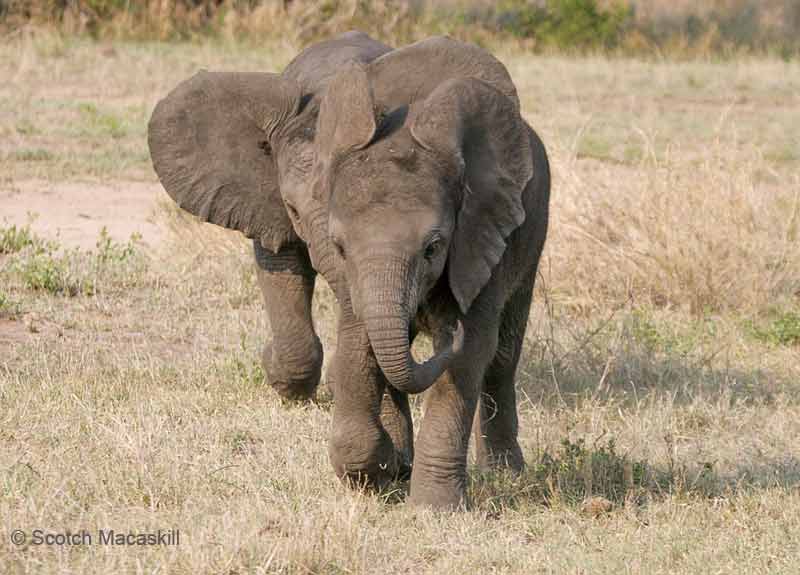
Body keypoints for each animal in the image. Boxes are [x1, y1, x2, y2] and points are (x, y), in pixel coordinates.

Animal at [310, 41, 552, 508]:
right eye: (339, 247)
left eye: (433, 248)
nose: (445, 333)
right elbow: (357, 342)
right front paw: (374, 475)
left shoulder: (481, 233)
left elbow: (472, 353)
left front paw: (432, 509)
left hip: (532, 233)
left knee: (503, 355)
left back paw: (504, 473)